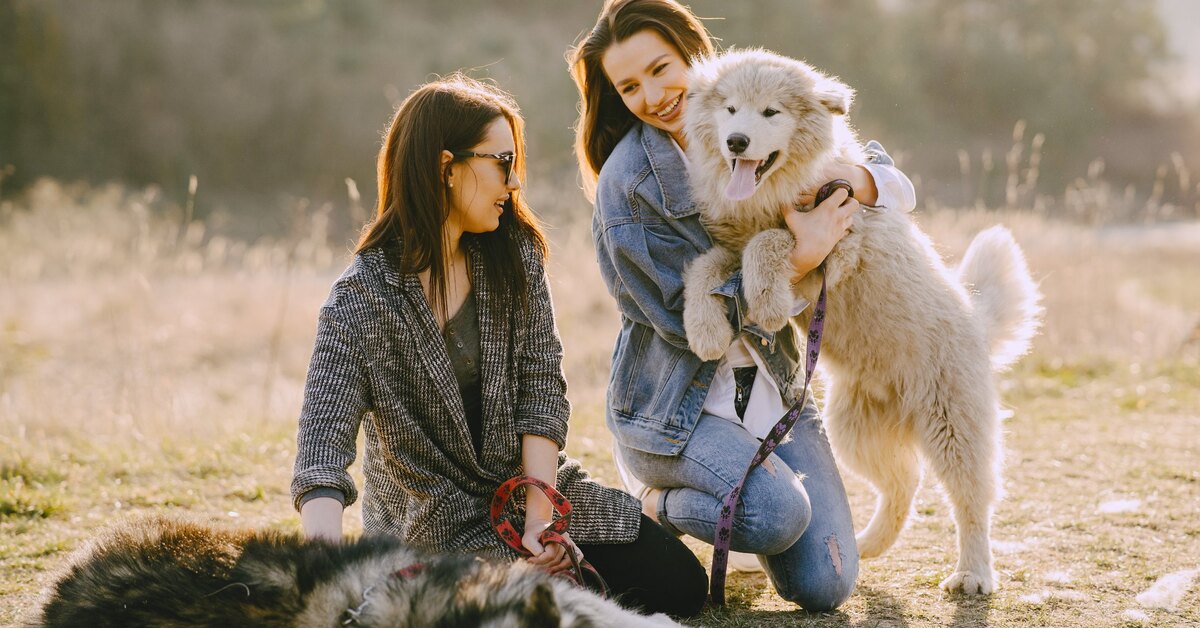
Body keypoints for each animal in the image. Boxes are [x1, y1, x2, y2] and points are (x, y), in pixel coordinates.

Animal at [681, 49, 1046, 595]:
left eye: (770, 112)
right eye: (729, 110)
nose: (737, 142)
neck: (772, 195)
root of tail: (975, 319)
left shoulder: (831, 247)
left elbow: (769, 243)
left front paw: (765, 298)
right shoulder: (726, 243)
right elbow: (706, 267)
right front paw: (702, 327)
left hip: (953, 424)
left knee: (971, 500)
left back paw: (973, 573)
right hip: (854, 430)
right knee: (904, 481)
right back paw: (869, 543)